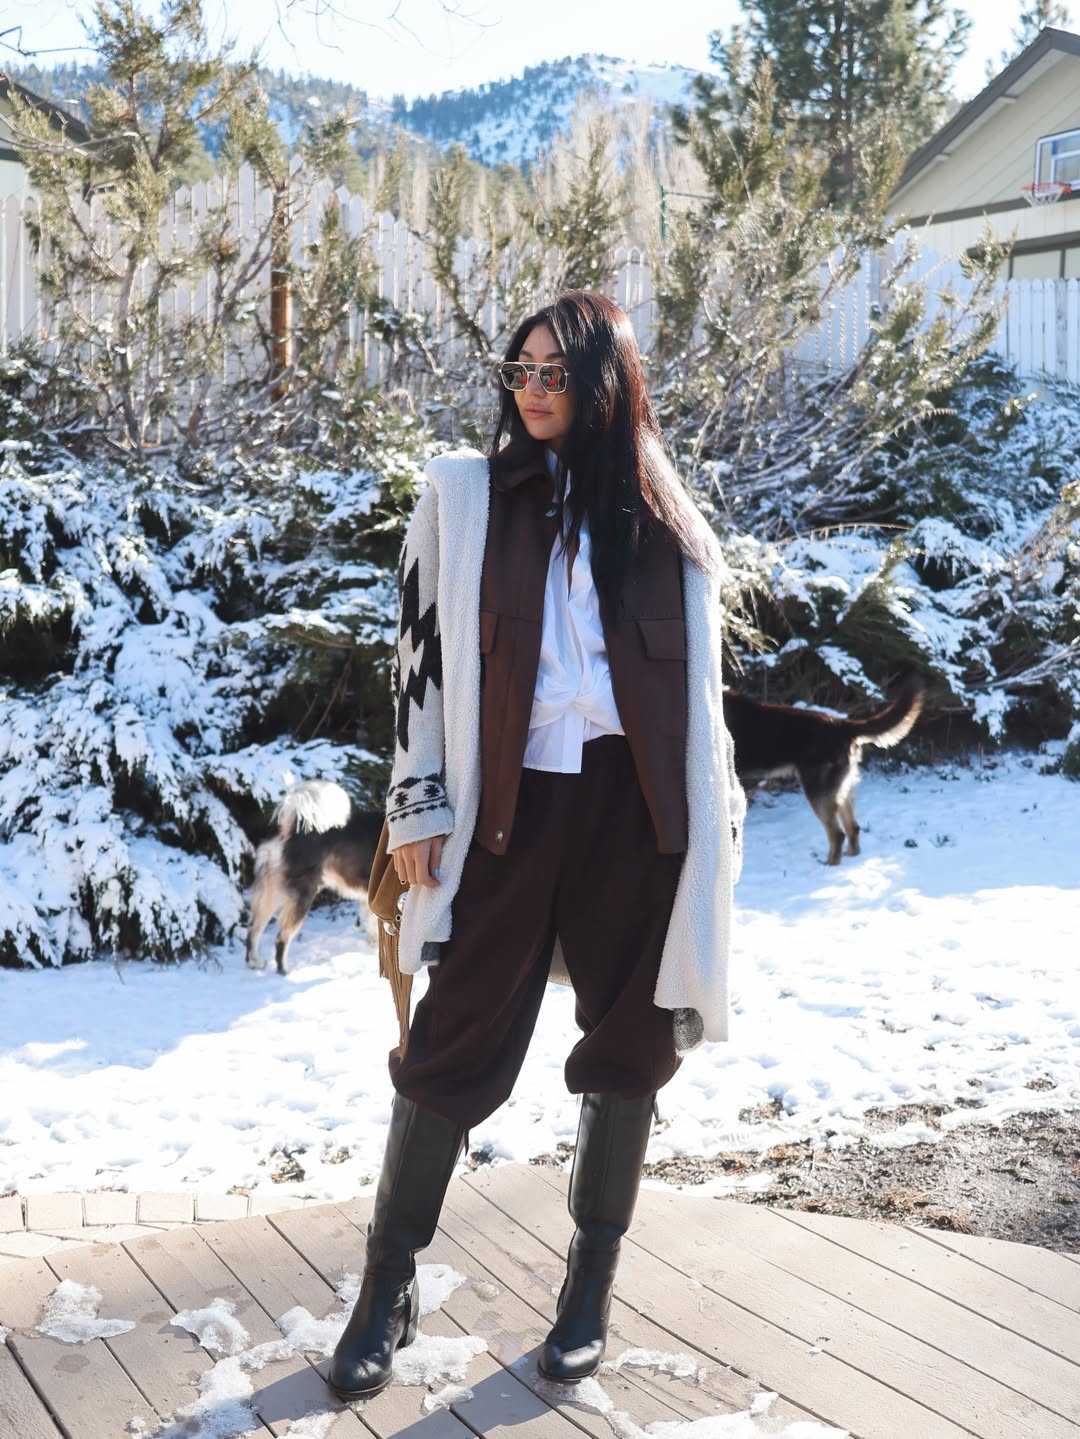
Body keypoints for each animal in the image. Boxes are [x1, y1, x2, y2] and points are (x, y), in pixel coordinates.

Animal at [246, 780, 383, 974]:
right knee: (282, 937)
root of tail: (289, 831)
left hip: (270, 893)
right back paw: (284, 971)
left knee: (253, 930)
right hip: (303, 896)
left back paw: (255, 963)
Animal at [723, 673, 925, 865]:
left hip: (818, 792)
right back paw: (850, 857)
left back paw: (829, 865)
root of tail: (842, 726)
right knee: (853, 828)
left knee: (838, 834)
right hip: (841, 790)